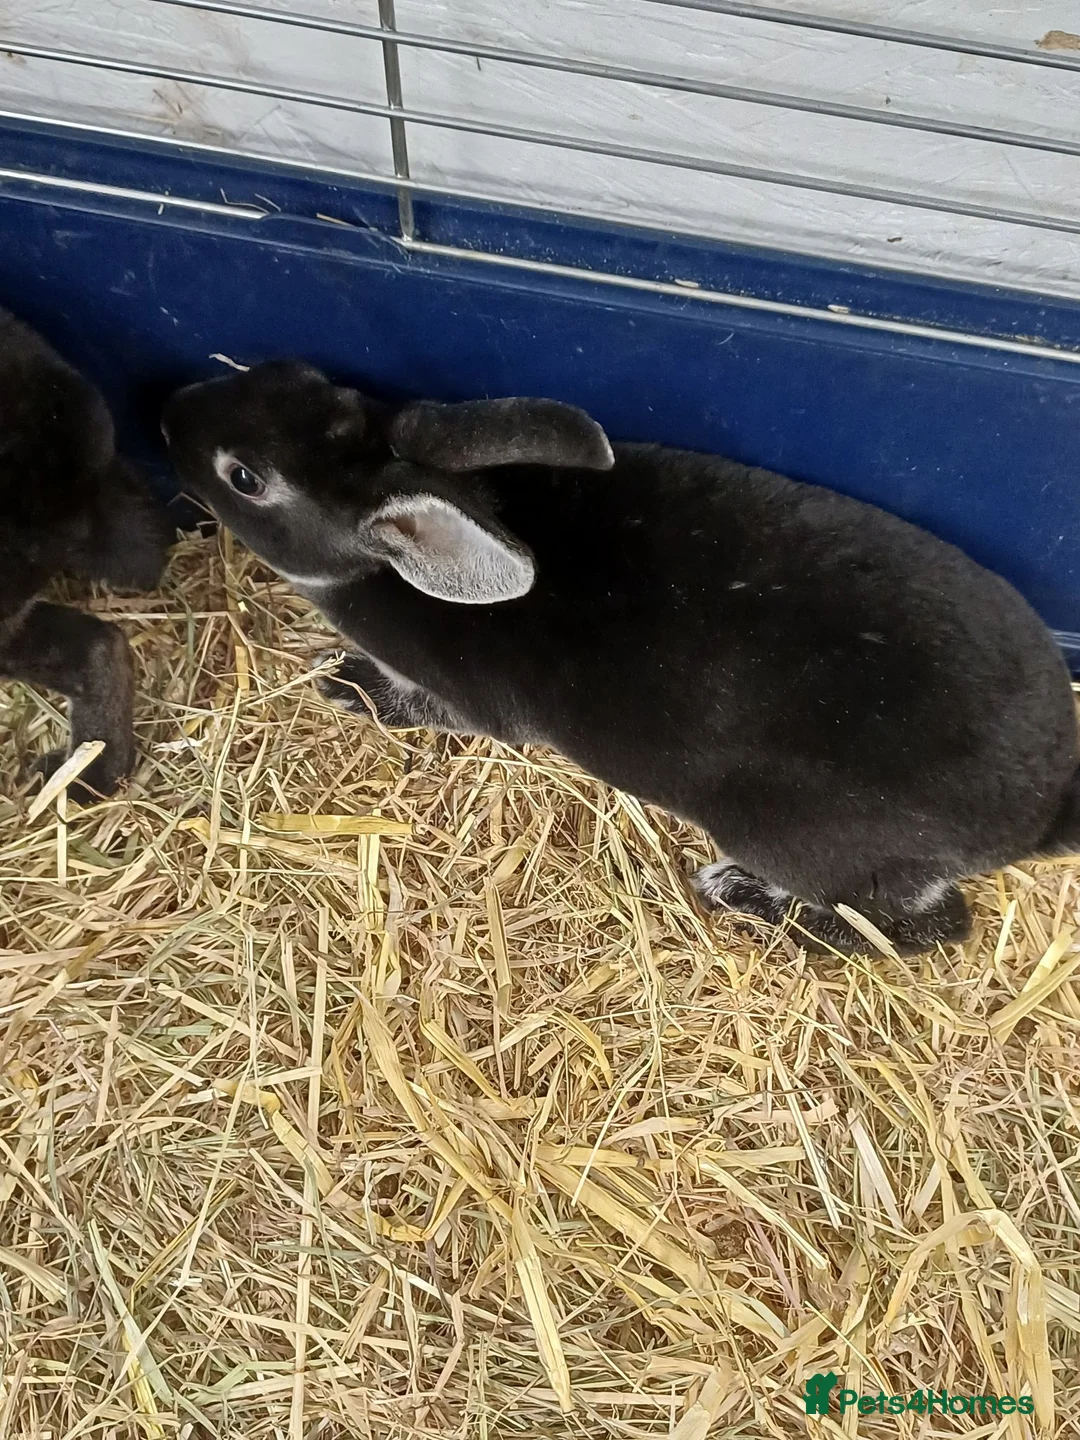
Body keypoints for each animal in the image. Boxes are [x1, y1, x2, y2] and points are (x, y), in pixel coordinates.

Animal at [162, 360, 1080, 956]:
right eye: (296, 376)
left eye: (244, 477)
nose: (167, 407)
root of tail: (1042, 810)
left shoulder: (466, 705)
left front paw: (348, 685)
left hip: (813, 850)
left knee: (928, 930)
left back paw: (744, 898)